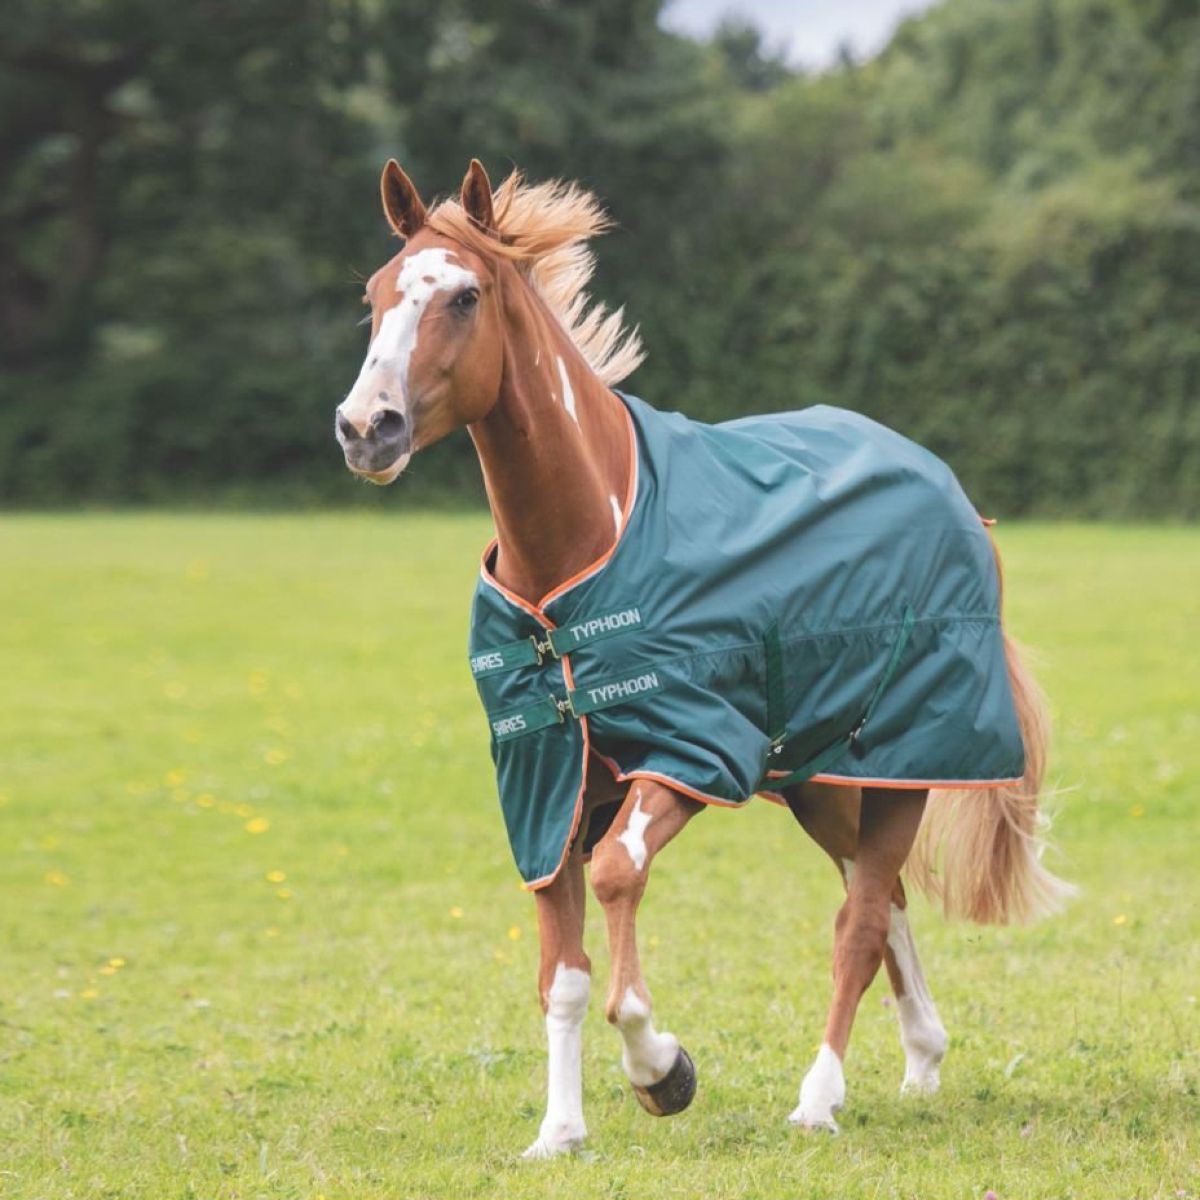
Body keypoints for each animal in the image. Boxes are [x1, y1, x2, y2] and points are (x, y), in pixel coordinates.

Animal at [333, 154, 1075, 1156]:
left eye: (465, 294)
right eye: (375, 295)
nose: (365, 428)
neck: (584, 547)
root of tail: (961, 503)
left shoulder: (689, 755)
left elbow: (619, 880)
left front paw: (661, 1070)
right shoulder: (545, 783)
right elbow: (562, 975)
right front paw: (559, 1131)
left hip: (903, 769)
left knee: (859, 920)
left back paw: (819, 1098)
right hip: (821, 780)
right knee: (881, 903)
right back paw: (922, 1057)